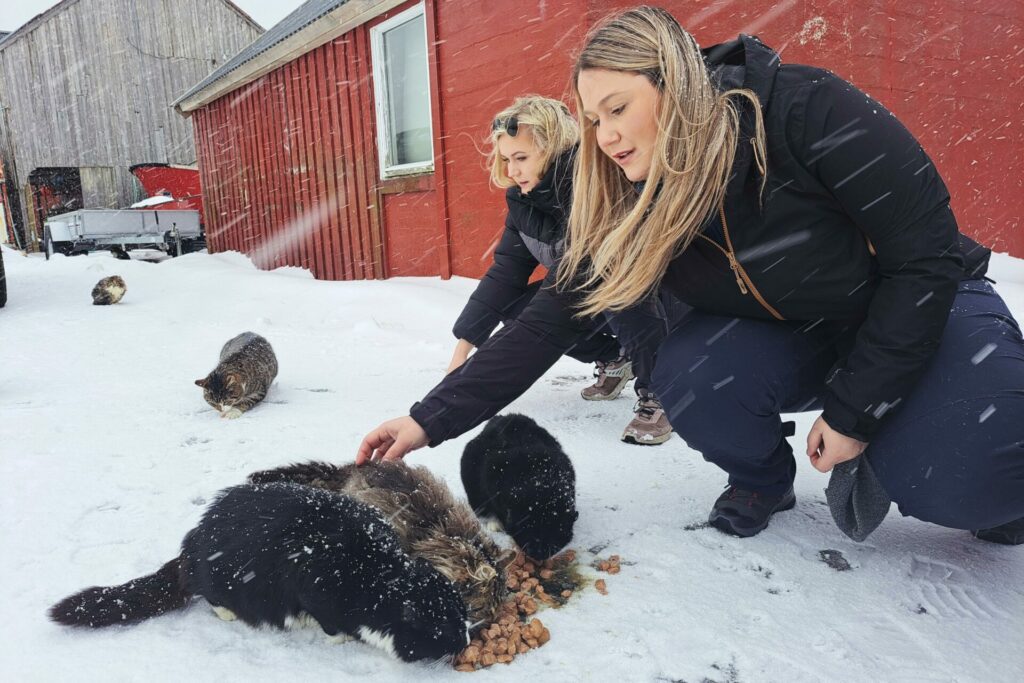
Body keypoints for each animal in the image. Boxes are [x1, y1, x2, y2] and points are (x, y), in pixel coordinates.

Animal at [50, 481, 471, 663]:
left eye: (463, 618)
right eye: (442, 633)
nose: (467, 642)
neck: (377, 575)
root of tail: (190, 546)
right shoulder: (315, 589)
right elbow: (330, 623)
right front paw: (338, 637)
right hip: (223, 581)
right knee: (209, 596)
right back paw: (226, 611)